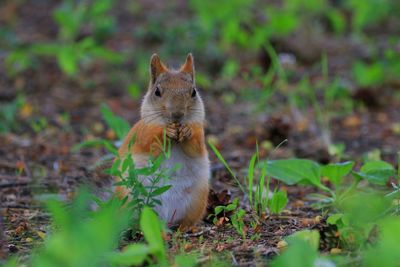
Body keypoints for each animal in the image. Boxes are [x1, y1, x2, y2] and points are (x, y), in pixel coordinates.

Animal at [115, 52, 209, 230]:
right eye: (157, 92)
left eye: (194, 92)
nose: (177, 114)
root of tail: (165, 219)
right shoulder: (142, 135)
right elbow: (150, 145)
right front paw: (166, 132)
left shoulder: (200, 134)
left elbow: (196, 147)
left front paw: (187, 131)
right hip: (131, 197)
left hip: (197, 199)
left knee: (187, 220)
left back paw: (186, 227)